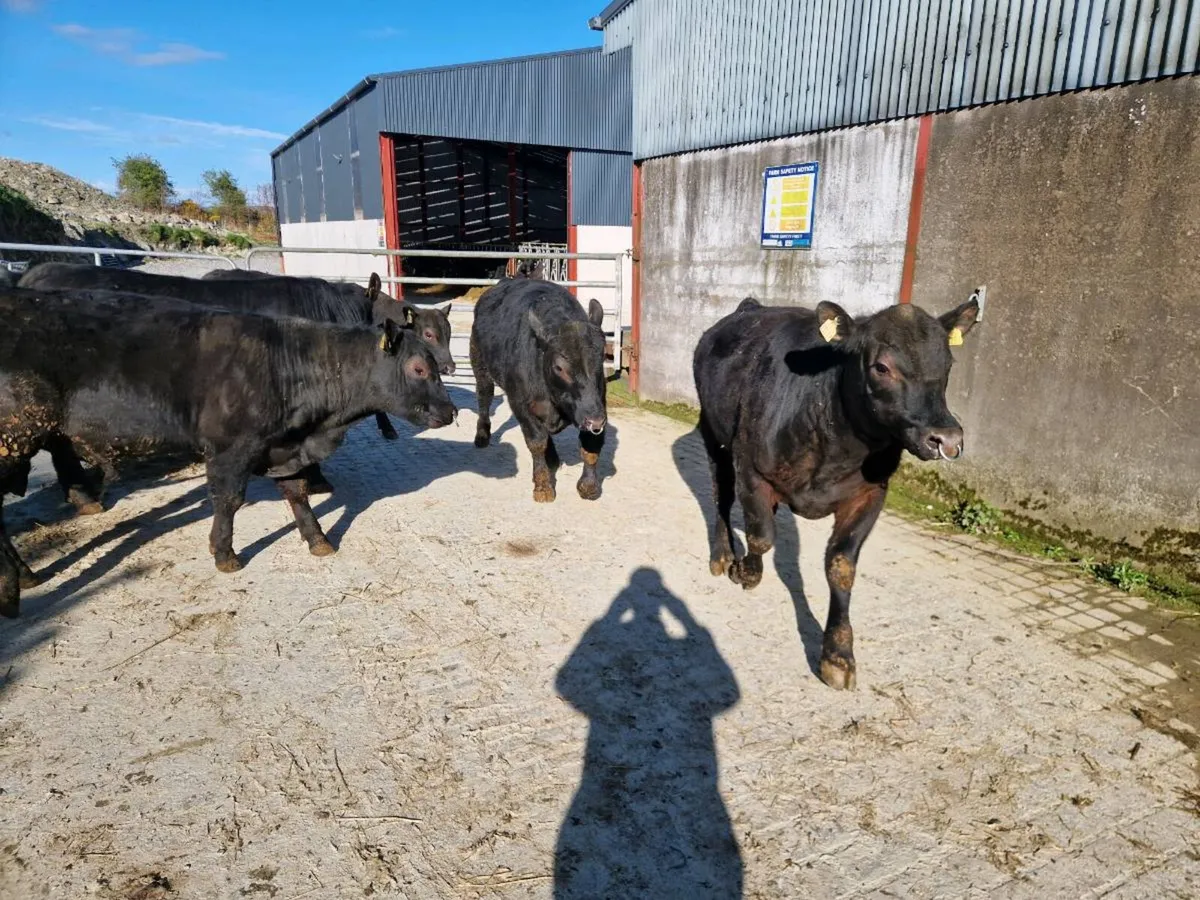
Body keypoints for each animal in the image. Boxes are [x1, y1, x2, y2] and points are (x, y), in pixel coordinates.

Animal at [0, 286, 456, 618]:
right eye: (419, 368)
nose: (451, 412)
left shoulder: (282, 446)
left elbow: (297, 495)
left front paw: (318, 539)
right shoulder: (230, 449)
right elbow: (228, 500)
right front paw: (224, 553)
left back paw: (25, 576)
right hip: (14, 440)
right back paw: (15, 586)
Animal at [470, 279, 608, 503]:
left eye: (602, 358)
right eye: (559, 367)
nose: (593, 421)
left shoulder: (597, 405)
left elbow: (590, 445)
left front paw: (589, 486)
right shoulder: (521, 406)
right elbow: (536, 443)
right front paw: (543, 487)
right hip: (479, 365)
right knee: (484, 396)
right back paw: (482, 435)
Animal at [693, 296, 980, 690]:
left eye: (948, 364)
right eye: (881, 367)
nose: (946, 439)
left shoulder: (870, 494)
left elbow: (841, 566)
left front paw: (838, 655)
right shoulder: (750, 467)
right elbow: (761, 536)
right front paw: (748, 572)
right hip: (713, 432)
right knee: (721, 496)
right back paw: (722, 557)